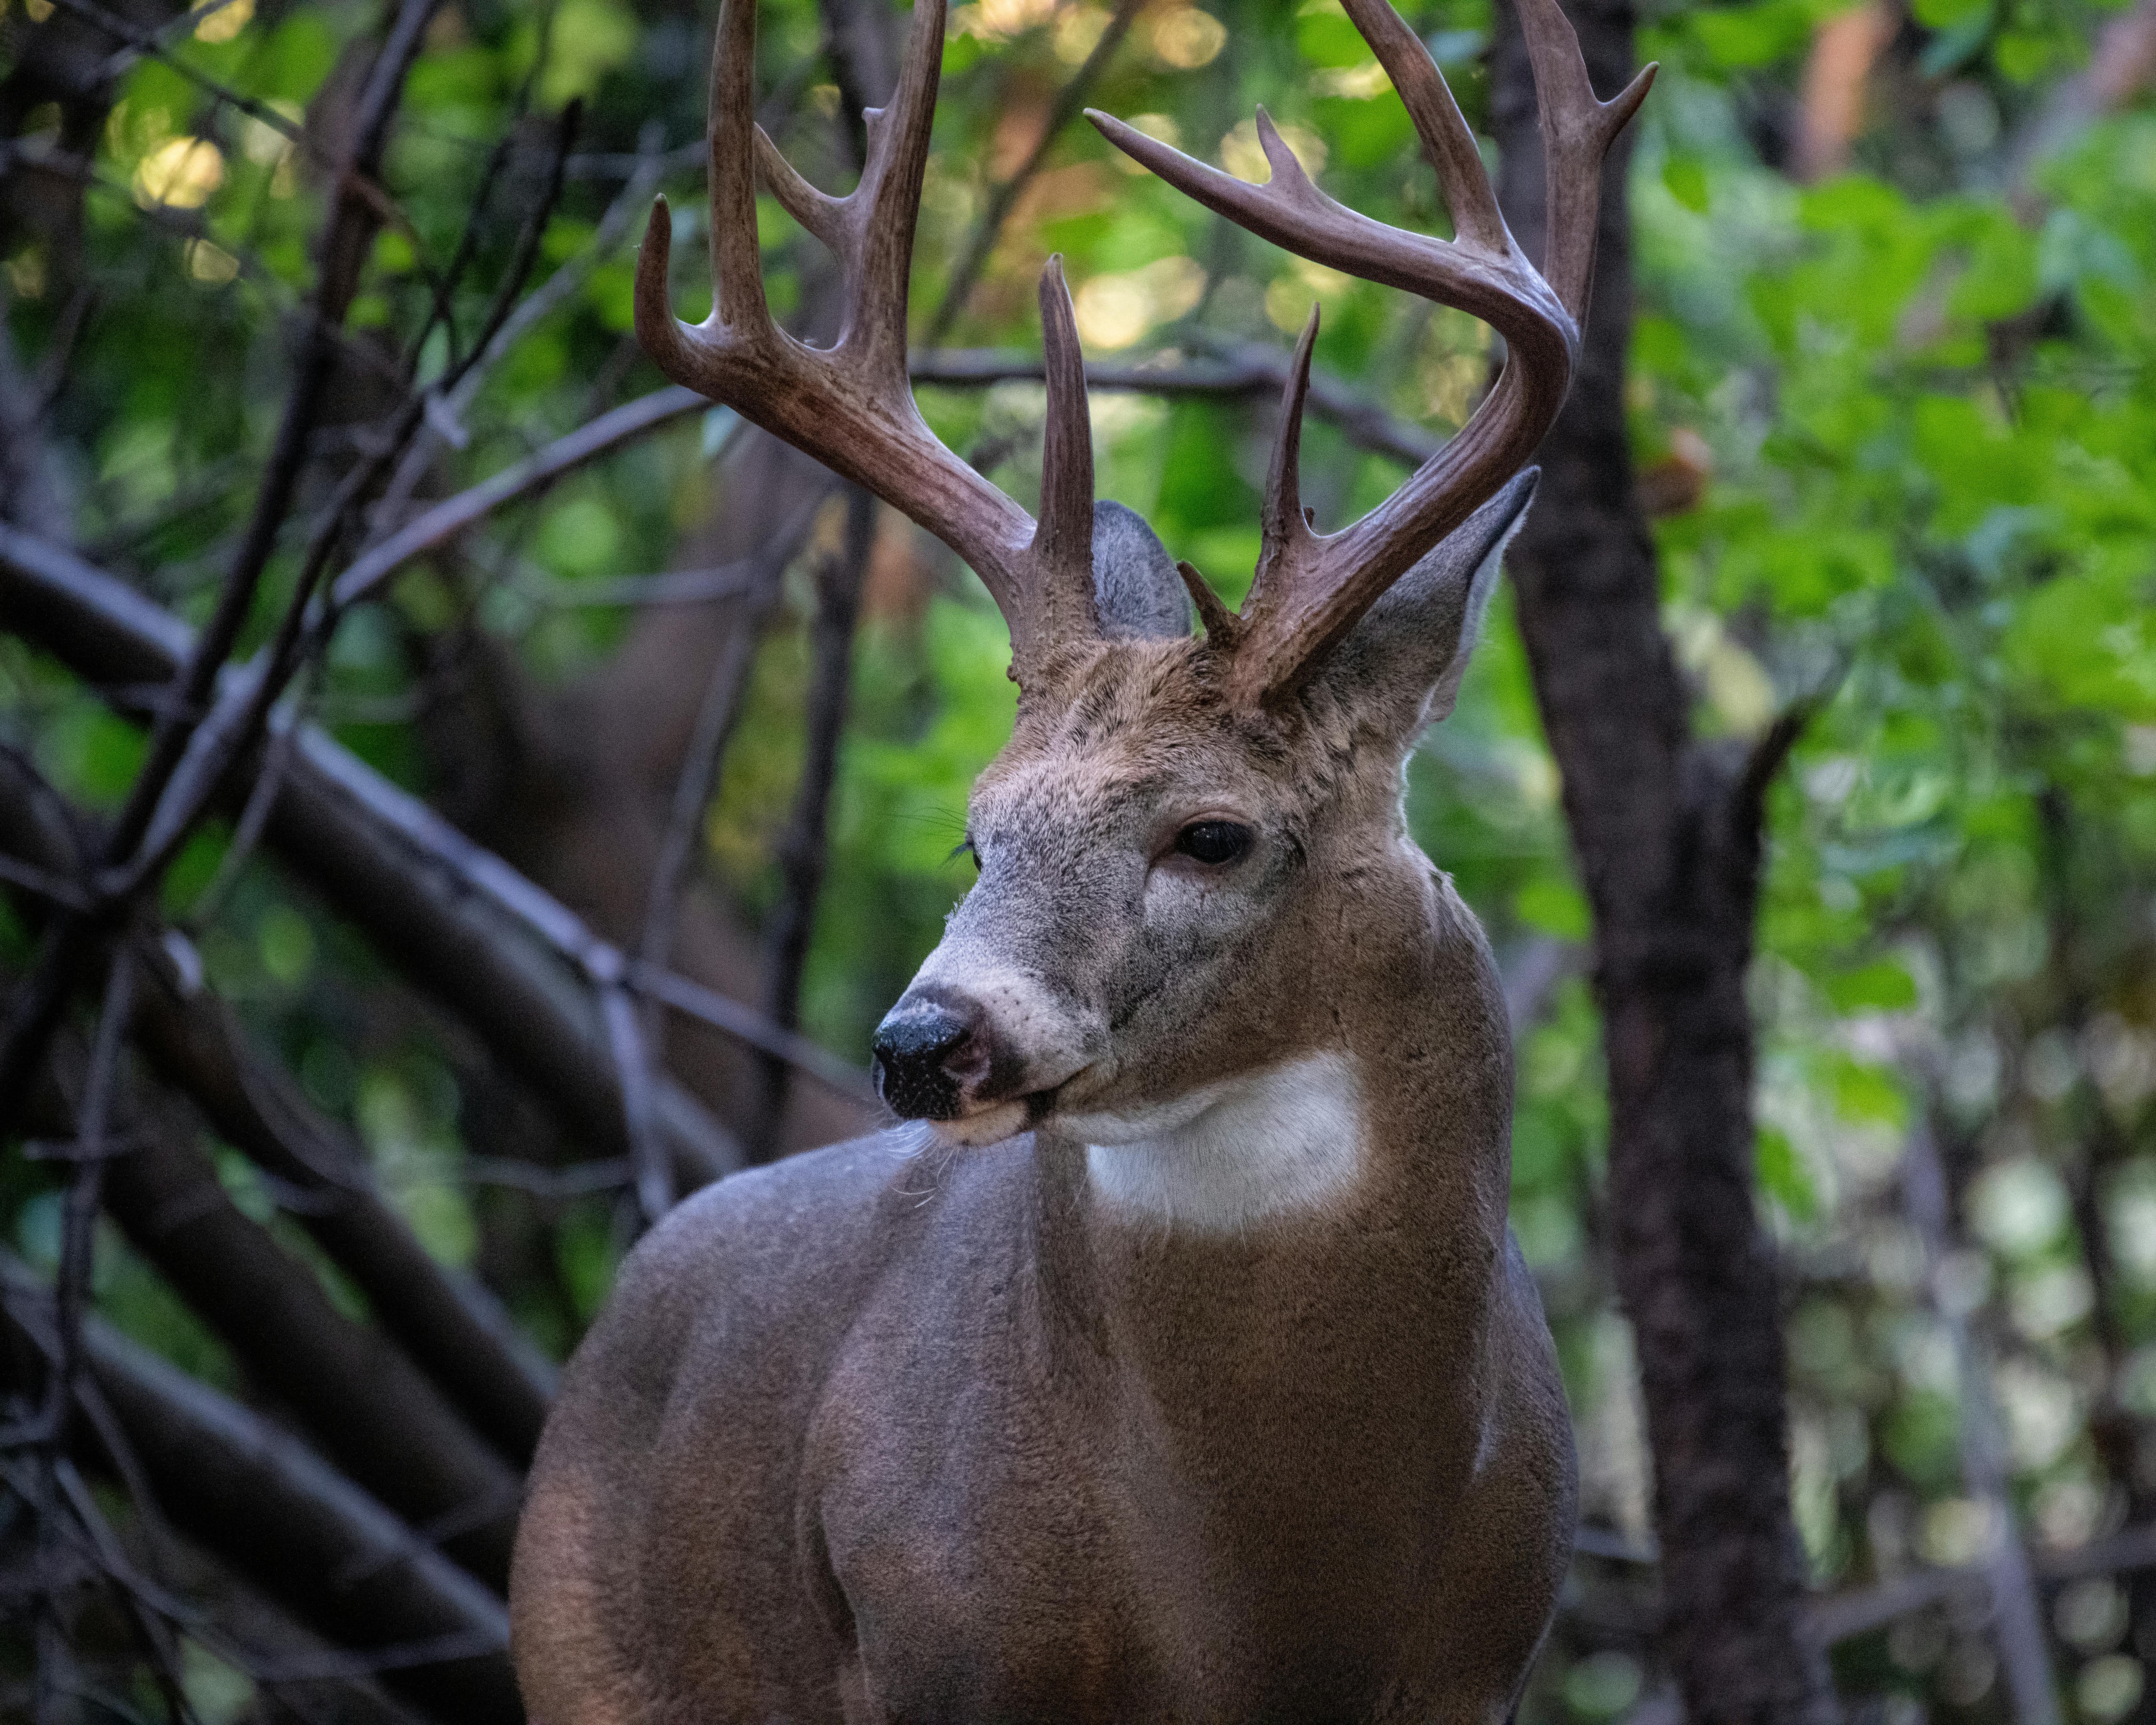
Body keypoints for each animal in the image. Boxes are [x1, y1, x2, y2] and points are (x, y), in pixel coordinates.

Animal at [509, 3, 1647, 1707]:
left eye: (1211, 832)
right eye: (978, 825)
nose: (925, 1038)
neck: (1271, 1599)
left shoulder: (1488, 1660)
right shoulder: (936, 1644)